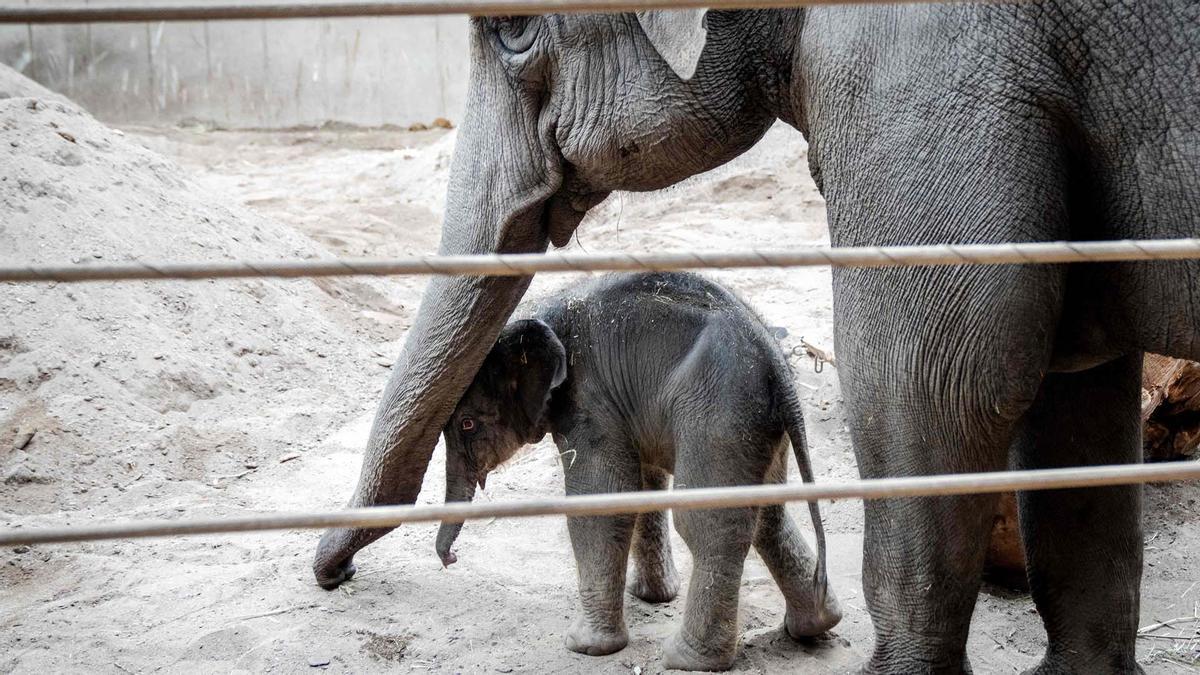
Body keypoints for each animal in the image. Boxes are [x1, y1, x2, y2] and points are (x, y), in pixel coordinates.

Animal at [436, 269, 840, 667]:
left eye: (467, 424)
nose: (449, 558)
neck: (543, 310)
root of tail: (779, 368)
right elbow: (643, 483)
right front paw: (652, 595)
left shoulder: (590, 401)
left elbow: (600, 498)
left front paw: (583, 646)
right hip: (753, 426)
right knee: (768, 514)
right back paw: (815, 624)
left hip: (718, 418)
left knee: (709, 526)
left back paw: (688, 659)